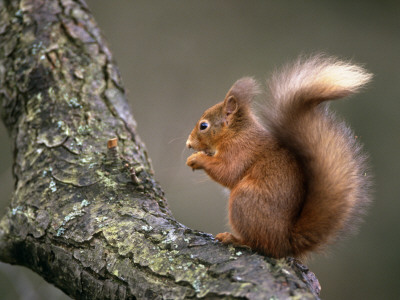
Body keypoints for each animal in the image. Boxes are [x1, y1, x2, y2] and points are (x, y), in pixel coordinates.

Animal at [186, 55, 374, 258]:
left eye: (203, 126)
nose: (188, 144)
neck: (236, 133)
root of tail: (286, 242)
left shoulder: (239, 151)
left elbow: (227, 171)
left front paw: (196, 159)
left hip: (243, 201)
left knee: (261, 245)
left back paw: (234, 239)